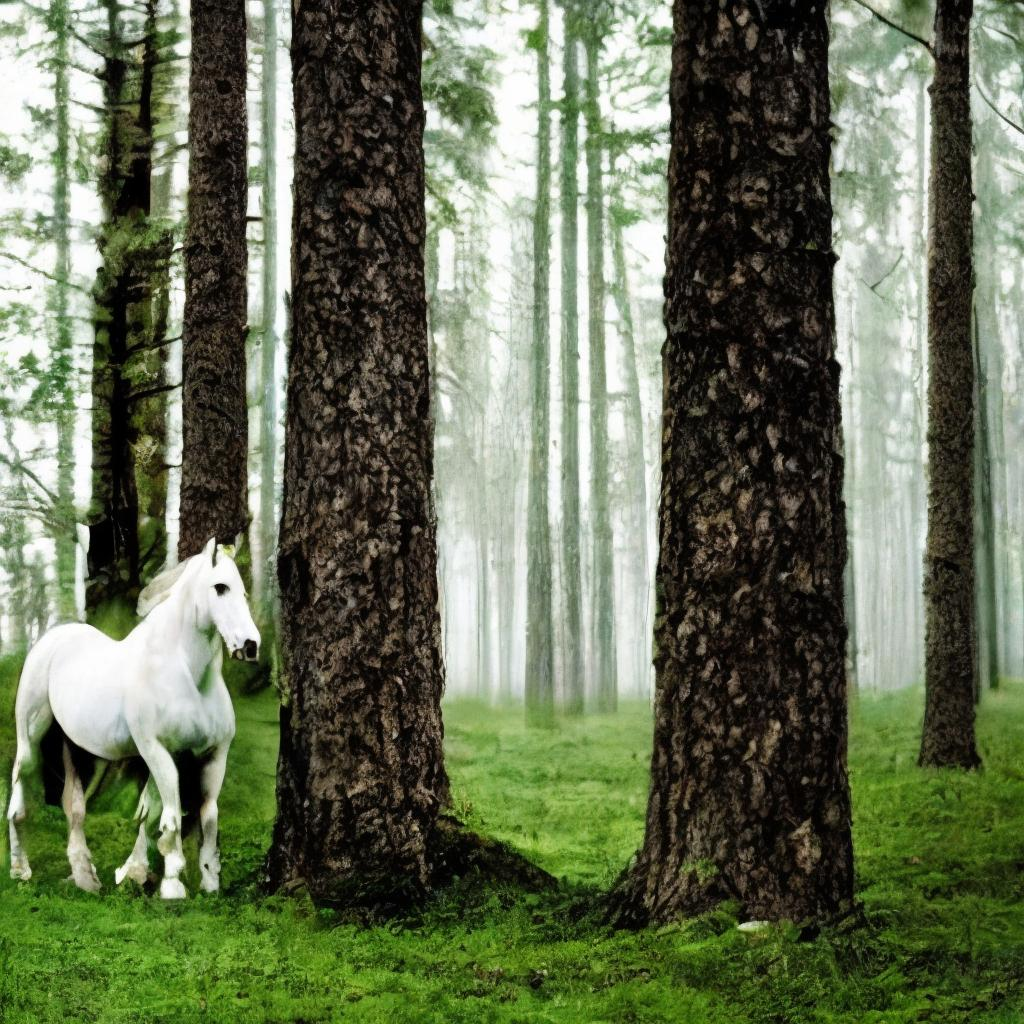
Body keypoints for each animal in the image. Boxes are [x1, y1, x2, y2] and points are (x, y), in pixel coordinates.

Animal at [7, 540, 260, 901]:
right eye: (220, 587)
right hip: (31, 736)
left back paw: (85, 878)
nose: (250, 646)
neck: (189, 678)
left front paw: (206, 882)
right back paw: (20, 869)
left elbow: (200, 816)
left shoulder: (212, 755)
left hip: (84, 752)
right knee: (20, 791)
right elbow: (171, 815)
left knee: (75, 807)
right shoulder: (156, 749)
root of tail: (54, 638)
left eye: (244, 592)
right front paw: (171, 885)